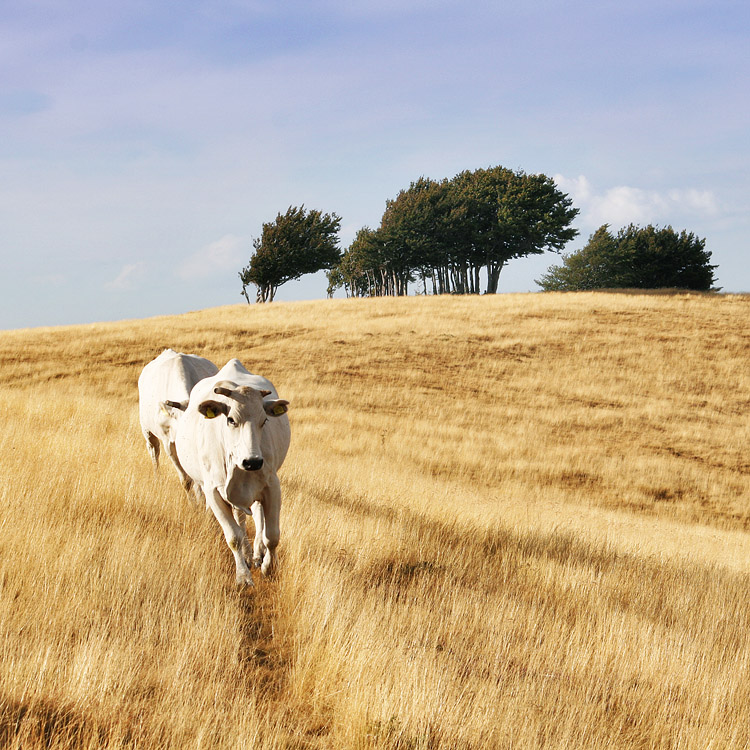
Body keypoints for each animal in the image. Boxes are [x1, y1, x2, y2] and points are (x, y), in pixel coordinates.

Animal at [176, 358, 290, 588]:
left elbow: (272, 535)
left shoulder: (272, 486)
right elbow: (233, 537)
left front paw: (269, 567)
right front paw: (243, 576)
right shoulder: (213, 492)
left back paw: (256, 553)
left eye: (264, 421)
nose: (253, 461)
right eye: (230, 420)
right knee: (240, 522)